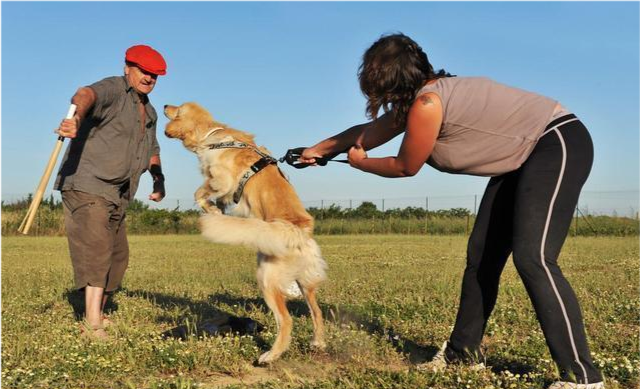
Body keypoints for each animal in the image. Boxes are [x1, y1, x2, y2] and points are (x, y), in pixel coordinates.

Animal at [162, 101, 328, 362]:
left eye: (177, 108)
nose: (164, 105)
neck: (213, 136)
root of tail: (300, 230)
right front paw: (217, 208)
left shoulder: (222, 180)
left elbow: (200, 192)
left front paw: (211, 209)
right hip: (305, 283)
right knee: (317, 312)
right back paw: (317, 343)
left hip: (267, 277)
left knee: (286, 321)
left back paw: (270, 355)